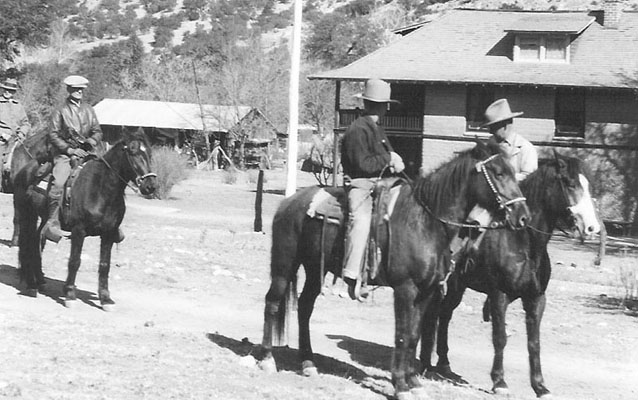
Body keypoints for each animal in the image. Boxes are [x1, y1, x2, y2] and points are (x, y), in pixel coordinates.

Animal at [15, 128, 158, 306]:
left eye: (150, 152)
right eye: (132, 151)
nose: (150, 186)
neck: (101, 189)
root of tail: (25, 170)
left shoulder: (109, 233)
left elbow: (105, 264)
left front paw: (105, 298)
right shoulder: (79, 230)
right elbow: (75, 261)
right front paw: (70, 294)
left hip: (44, 218)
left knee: (36, 242)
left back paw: (40, 281)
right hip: (27, 214)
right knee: (27, 244)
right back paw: (32, 285)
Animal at [258, 142, 532, 398]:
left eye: (513, 171)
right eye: (498, 173)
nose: (523, 216)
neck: (425, 222)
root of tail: (288, 202)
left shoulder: (426, 292)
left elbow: (413, 336)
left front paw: (414, 382)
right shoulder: (405, 289)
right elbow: (401, 334)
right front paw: (400, 385)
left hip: (315, 269)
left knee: (305, 307)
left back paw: (308, 363)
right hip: (285, 264)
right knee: (272, 302)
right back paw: (267, 359)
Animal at [422, 152, 604, 396]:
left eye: (588, 185)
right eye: (570, 183)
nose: (593, 227)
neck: (524, 244)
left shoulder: (536, 299)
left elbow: (534, 343)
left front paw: (540, 386)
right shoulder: (499, 296)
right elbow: (500, 338)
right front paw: (499, 382)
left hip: (457, 288)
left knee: (444, 316)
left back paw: (443, 364)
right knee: (435, 315)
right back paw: (429, 363)